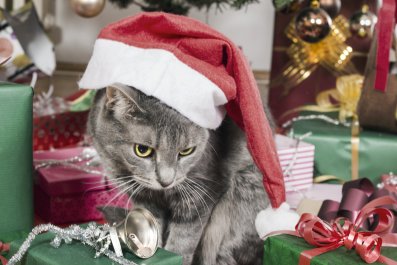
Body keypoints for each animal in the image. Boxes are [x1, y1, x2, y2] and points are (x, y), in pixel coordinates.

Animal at [88, 83, 270, 264]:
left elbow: (183, 242)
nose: (166, 181)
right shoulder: (143, 199)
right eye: (142, 150)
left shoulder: (200, 195)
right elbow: (150, 228)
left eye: (187, 151)